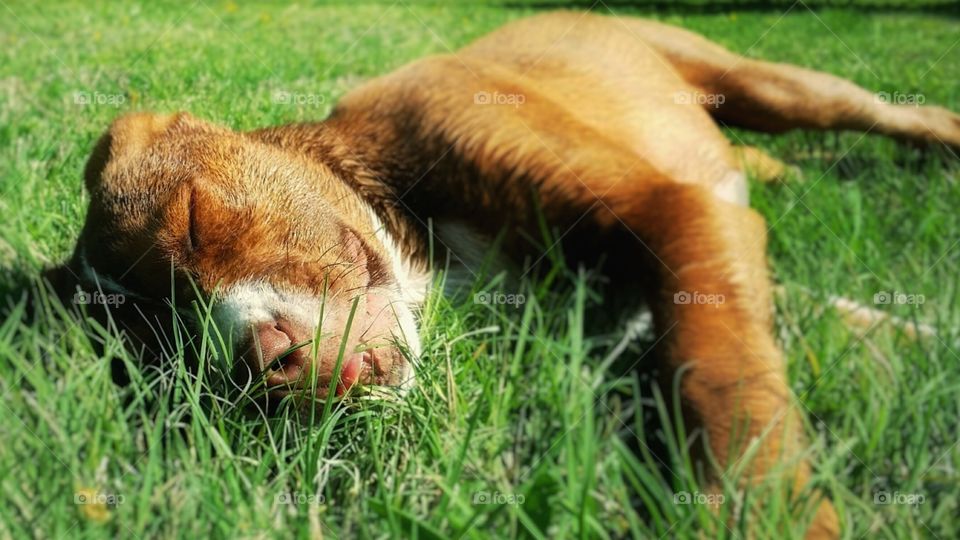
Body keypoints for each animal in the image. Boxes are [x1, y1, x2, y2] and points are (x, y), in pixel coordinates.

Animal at [47, 10, 960, 536]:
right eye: (160, 346)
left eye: (193, 220)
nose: (269, 363)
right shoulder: (700, 250)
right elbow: (798, 331)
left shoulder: (676, 210)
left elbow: (723, 381)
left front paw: (765, 515)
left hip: (775, 85)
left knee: (904, 115)